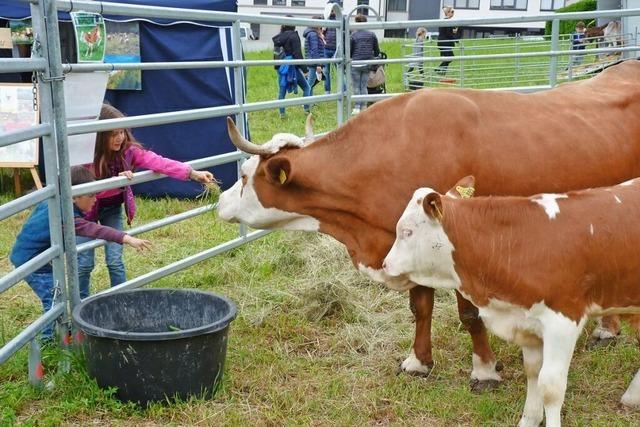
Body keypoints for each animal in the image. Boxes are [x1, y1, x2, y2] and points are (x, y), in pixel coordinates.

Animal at [218, 60, 640, 392]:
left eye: (243, 175)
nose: (219, 202)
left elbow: (469, 315)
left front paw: (484, 370)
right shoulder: (408, 247)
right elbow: (420, 307)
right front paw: (419, 361)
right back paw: (609, 326)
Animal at [382, 176, 640, 426]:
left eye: (407, 232)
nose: (385, 265)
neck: (517, 243)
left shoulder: (563, 321)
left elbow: (551, 388)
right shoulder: (526, 321)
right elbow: (533, 373)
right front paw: (530, 419)